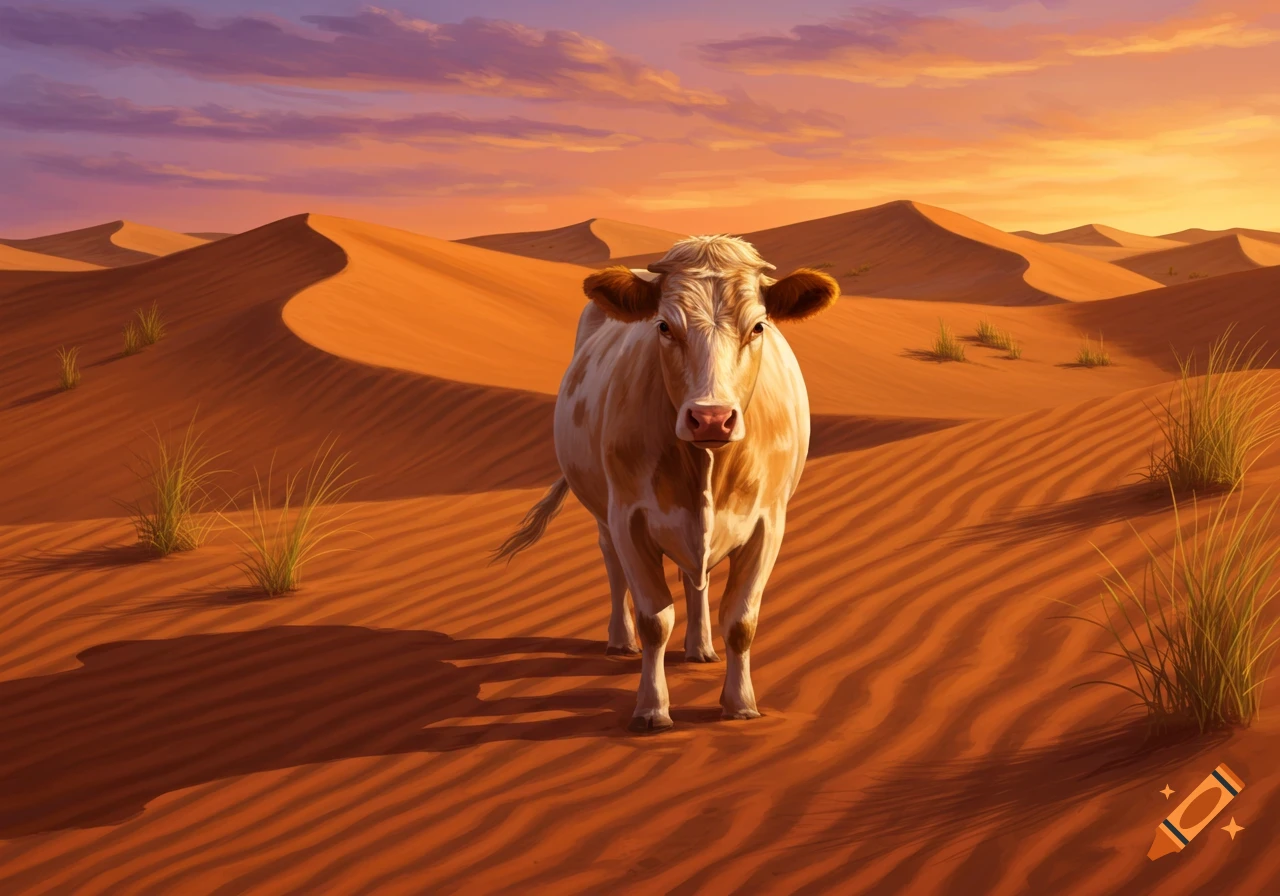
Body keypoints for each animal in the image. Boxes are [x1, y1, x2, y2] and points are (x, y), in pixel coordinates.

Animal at [495, 235, 839, 732]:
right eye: (663, 326)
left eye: (758, 327)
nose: (711, 417)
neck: (706, 462)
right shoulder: (629, 518)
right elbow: (654, 619)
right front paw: (652, 708)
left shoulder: (769, 524)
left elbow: (741, 621)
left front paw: (740, 704)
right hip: (603, 512)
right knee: (613, 567)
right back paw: (620, 641)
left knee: (697, 581)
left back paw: (700, 648)